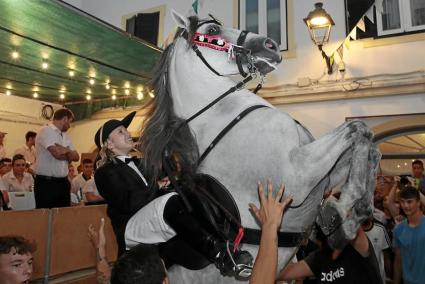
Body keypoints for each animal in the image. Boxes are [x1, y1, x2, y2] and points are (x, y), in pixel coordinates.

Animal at [139, 10, 380, 282]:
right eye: (212, 30)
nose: (271, 45)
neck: (223, 114)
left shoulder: (325, 178)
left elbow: (366, 138)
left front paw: (353, 214)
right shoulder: (298, 176)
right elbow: (357, 128)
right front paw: (340, 216)